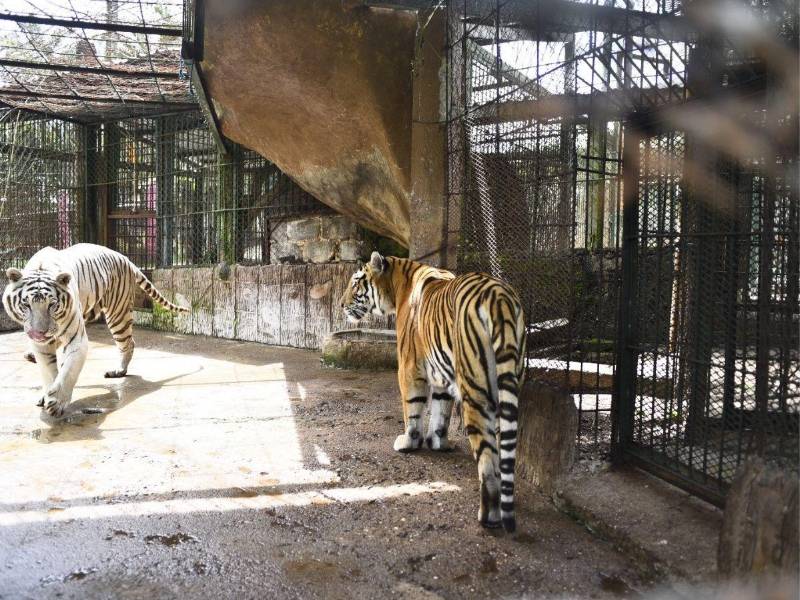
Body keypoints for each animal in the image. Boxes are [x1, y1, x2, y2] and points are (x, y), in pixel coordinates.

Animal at [3, 243, 189, 417]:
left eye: (52, 305)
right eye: (26, 305)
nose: (39, 333)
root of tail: (125, 258)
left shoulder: (77, 340)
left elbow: (69, 371)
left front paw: (57, 402)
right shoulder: (42, 346)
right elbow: (49, 371)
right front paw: (47, 394)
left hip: (118, 314)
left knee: (128, 343)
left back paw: (119, 370)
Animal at [340, 252, 526, 532]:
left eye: (355, 283)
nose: (341, 305)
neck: (397, 283)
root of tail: (499, 297)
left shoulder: (408, 367)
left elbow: (412, 409)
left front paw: (409, 442)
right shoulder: (442, 374)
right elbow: (441, 412)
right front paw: (438, 442)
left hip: (476, 391)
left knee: (486, 460)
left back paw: (488, 515)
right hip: (508, 385)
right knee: (503, 451)